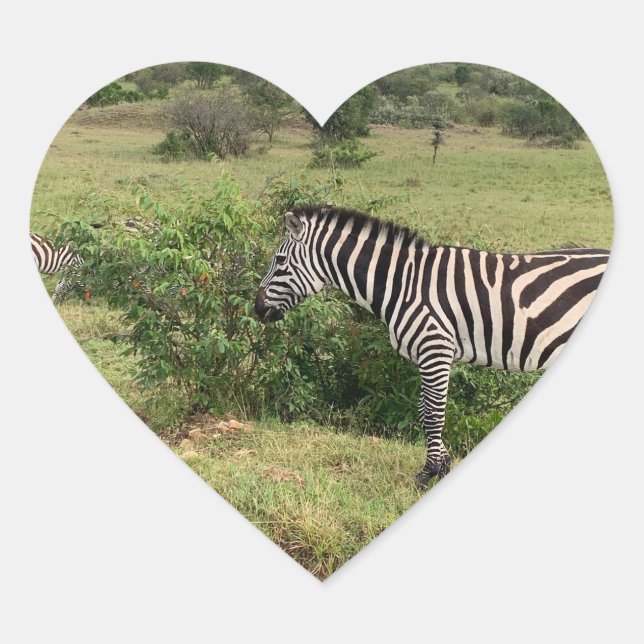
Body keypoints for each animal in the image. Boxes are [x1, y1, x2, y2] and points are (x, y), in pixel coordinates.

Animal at [255, 204, 609, 487]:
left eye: (279, 260)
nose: (256, 309)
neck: (403, 283)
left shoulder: (435, 348)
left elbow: (434, 415)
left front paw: (429, 473)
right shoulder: (430, 355)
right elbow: (425, 411)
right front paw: (444, 464)